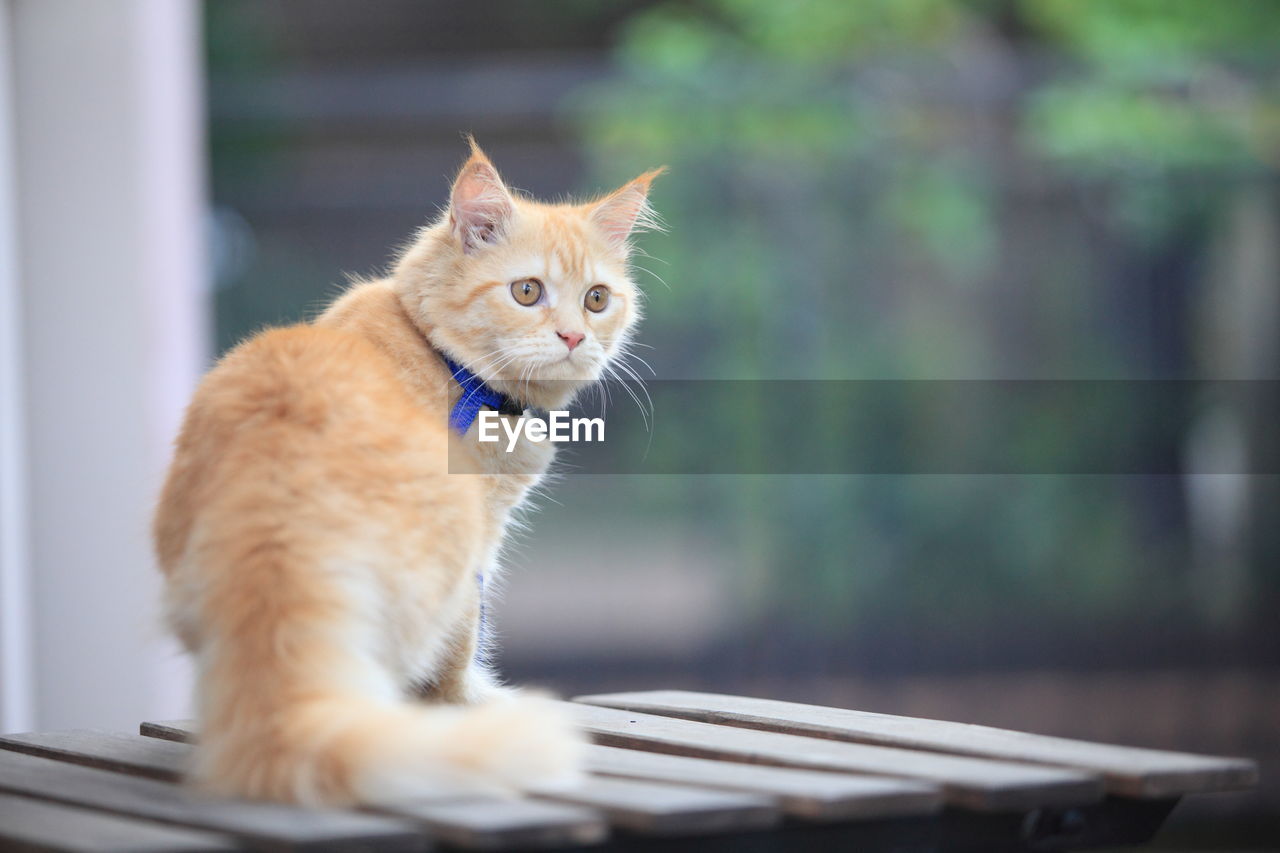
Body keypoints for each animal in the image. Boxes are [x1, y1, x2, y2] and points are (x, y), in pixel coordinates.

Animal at [154, 139, 665, 804]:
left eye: (597, 299)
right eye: (527, 292)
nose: (575, 337)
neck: (449, 364)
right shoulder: (479, 542)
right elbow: (460, 653)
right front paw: (471, 701)